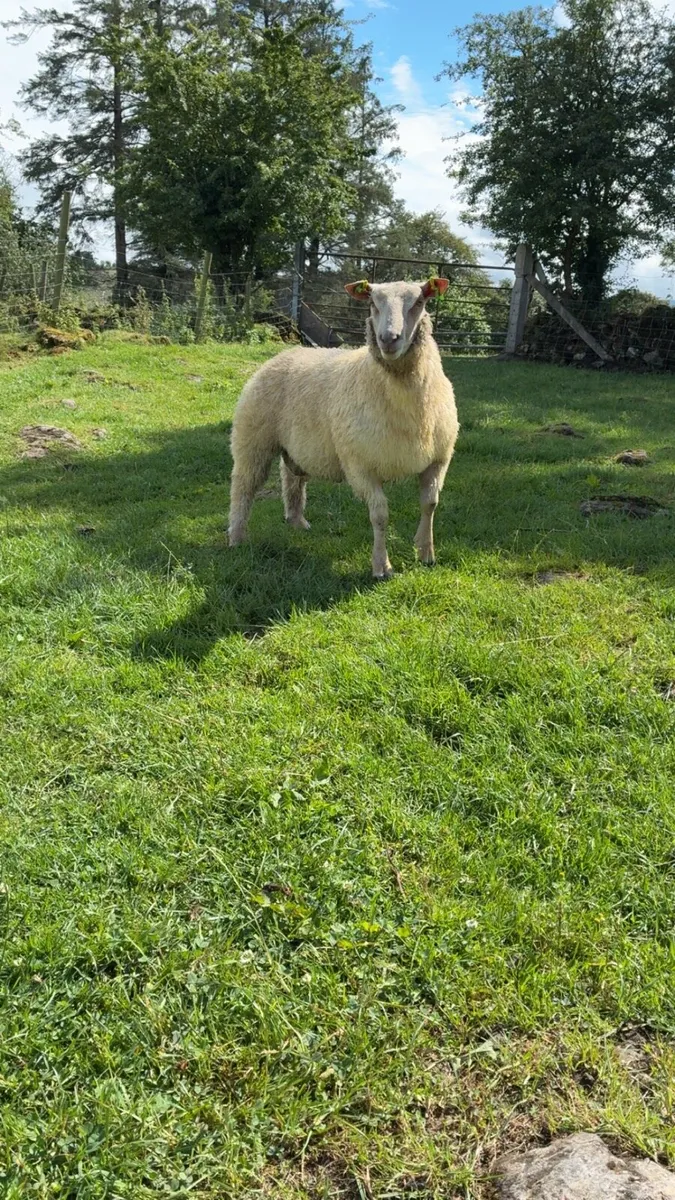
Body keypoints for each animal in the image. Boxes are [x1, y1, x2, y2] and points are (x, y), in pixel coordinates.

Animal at [228, 277, 459, 579]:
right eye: (372, 302)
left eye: (420, 302)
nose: (388, 339)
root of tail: (287, 353)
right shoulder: (361, 466)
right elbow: (380, 515)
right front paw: (381, 566)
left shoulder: (438, 460)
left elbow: (430, 504)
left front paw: (426, 553)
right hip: (252, 439)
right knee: (243, 487)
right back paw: (237, 537)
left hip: (297, 446)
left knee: (291, 477)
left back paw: (297, 521)